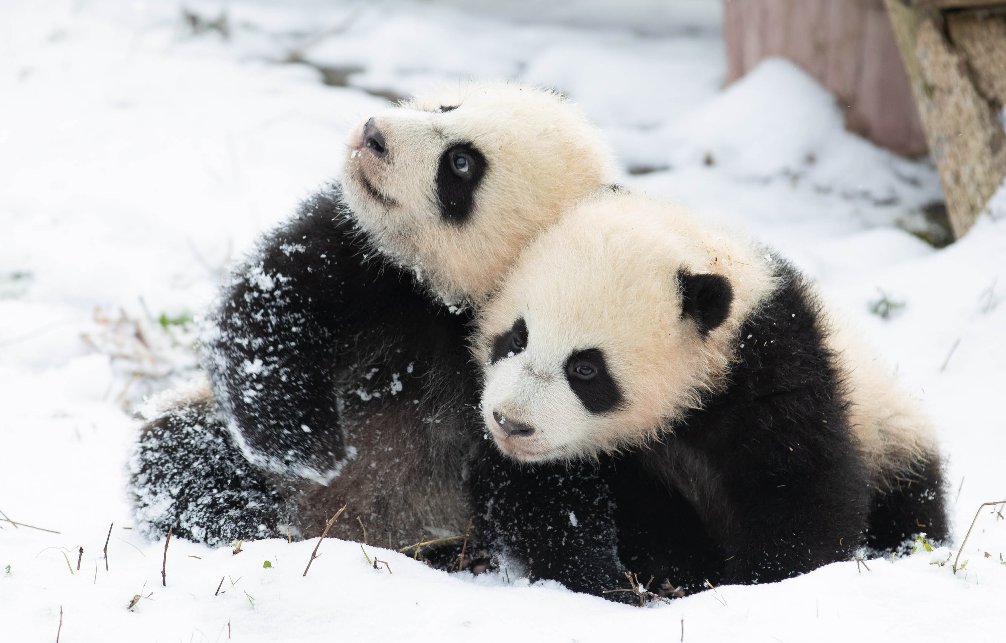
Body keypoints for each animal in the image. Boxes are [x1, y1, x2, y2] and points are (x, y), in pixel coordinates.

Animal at [129, 80, 615, 547]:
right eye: (448, 108)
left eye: (461, 163)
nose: (374, 133)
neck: (446, 299)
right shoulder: (361, 254)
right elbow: (272, 306)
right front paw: (307, 447)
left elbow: (549, 484)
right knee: (181, 454)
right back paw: (238, 519)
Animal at [470, 190, 949, 599]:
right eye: (517, 337)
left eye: (585, 369)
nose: (511, 423)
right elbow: (549, 499)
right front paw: (616, 579)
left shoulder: (774, 368)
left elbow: (801, 485)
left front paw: (762, 582)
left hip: (889, 430)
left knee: (912, 502)